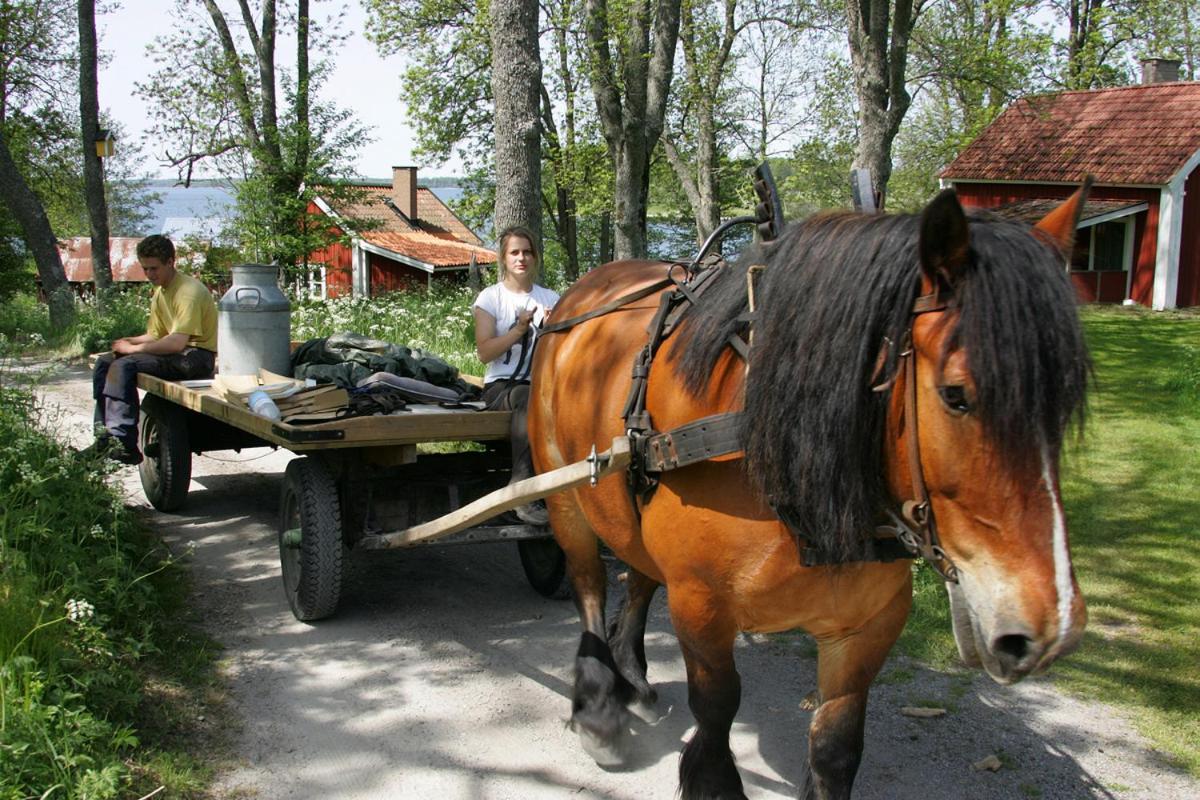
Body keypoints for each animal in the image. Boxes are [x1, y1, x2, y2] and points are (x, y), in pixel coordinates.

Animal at [530, 184, 1094, 796]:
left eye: (1065, 400)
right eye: (956, 395)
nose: (1054, 631)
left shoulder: (868, 624)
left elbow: (836, 743)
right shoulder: (700, 606)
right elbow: (717, 712)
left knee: (638, 573)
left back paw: (631, 672)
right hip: (565, 497)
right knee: (589, 583)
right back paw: (598, 704)